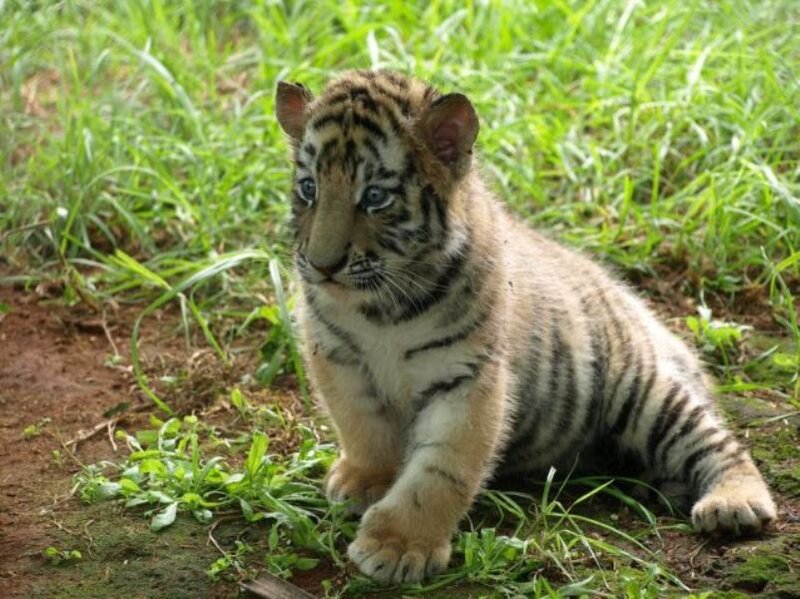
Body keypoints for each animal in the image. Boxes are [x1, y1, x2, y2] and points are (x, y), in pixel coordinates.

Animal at [274, 69, 776, 584]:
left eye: (375, 197)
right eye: (309, 189)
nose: (322, 265)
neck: (379, 309)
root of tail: (641, 312)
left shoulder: (469, 378)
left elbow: (440, 470)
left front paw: (398, 546)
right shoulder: (338, 357)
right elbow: (362, 427)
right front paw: (366, 480)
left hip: (644, 394)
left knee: (721, 445)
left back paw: (733, 504)